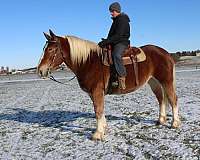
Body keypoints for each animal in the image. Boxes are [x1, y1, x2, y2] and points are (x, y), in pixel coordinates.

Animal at [37, 30, 181, 140]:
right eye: (44, 49)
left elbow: (98, 110)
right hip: (153, 82)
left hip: (166, 81)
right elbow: (99, 109)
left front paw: (97, 134)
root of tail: (166, 53)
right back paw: (161, 120)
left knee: (173, 99)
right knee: (161, 99)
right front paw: (104, 127)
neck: (88, 61)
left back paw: (175, 123)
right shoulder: (93, 93)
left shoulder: (96, 91)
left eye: (50, 49)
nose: (40, 71)